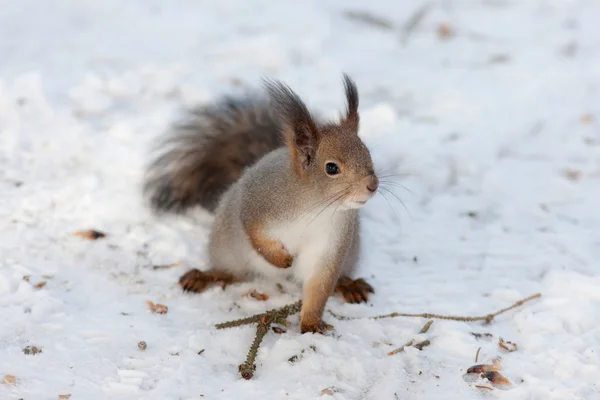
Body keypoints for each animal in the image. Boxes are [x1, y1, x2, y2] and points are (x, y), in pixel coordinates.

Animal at [144, 75, 380, 334]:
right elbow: (255, 233)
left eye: (368, 155)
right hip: (226, 247)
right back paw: (206, 276)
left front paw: (311, 324)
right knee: (233, 274)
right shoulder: (256, 203)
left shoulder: (330, 245)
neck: (316, 205)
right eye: (331, 168)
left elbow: (318, 289)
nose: (373, 185)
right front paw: (281, 260)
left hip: (351, 252)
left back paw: (349, 285)